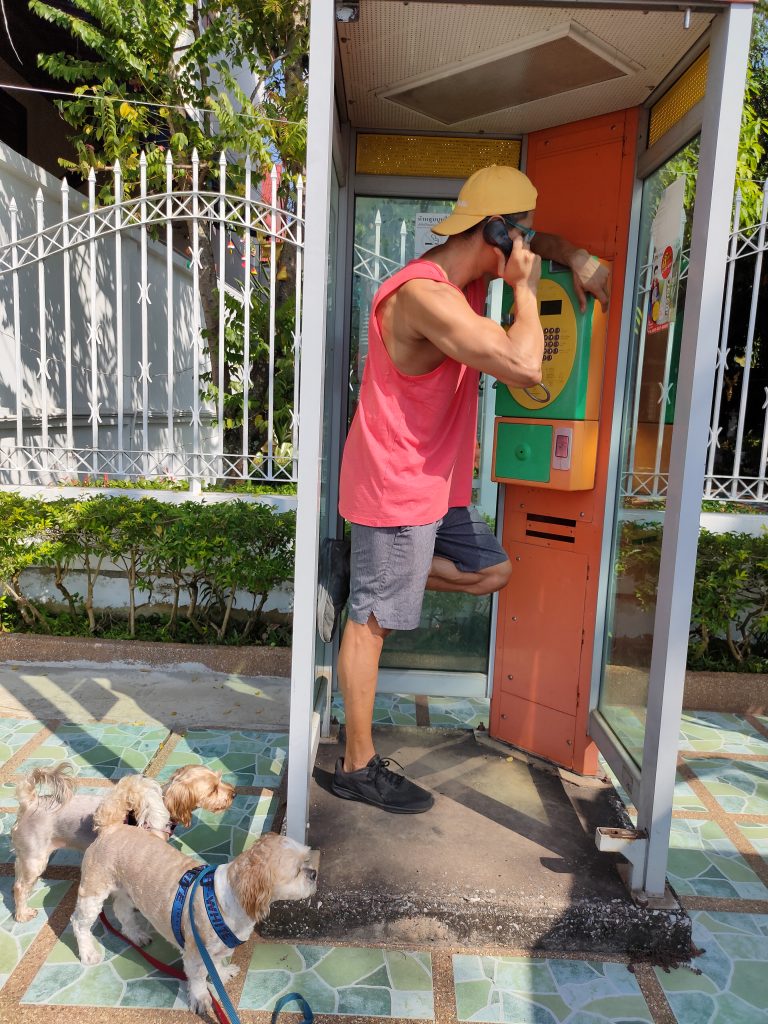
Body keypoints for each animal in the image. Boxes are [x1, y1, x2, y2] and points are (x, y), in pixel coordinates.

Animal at [11, 761, 234, 921]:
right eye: (213, 789)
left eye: (220, 780)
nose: (233, 793)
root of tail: (30, 802)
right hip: (35, 858)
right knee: (19, 887)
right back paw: (22, 914)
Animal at [74, 831, 319, 1015]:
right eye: (297, 871)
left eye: (307, 860)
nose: (314, 873)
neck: (225, 899)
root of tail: (109, 828)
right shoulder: (196, 953)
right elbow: (199, 978)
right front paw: (201, 999)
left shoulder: (219, 947)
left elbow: (216, 964)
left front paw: (222, 974)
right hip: (94, 891)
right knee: (80, 923)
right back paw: (88, 953)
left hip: (126, 891)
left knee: (121, 910)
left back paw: (136, 935)